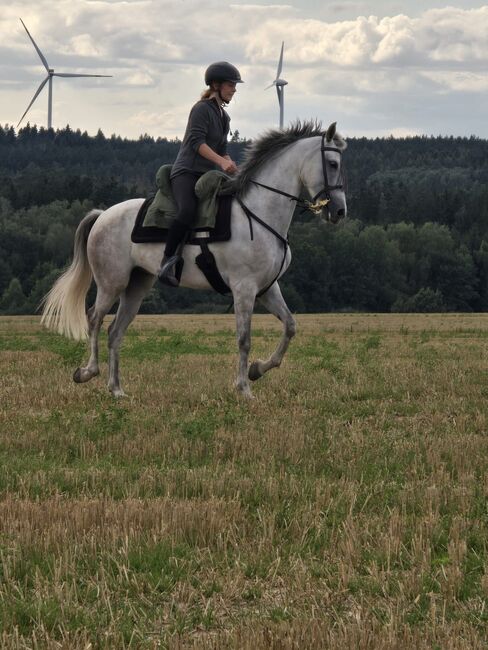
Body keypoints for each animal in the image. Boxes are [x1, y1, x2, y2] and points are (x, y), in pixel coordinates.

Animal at [41, 119, 346, 398]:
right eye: (333, 164)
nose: (340, 211)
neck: (259, 213)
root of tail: (102, 214)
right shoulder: (244, 289)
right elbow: (244, 339)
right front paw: (244, 389)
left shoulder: (267, 289)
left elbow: (290, 326)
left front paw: (257, 369)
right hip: (111, 282)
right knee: (94, 318)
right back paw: (87, 372)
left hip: (137, 285)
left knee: (115, 332)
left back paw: (116, 389)